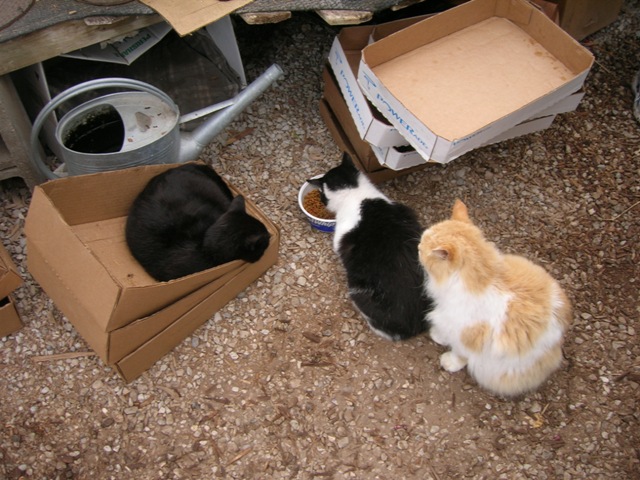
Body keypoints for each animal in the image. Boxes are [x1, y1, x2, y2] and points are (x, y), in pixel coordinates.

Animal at [418, 199, 572, 398]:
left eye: (422, 248)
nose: (417, 248)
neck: (483, 278)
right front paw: (438, 335)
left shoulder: (468, 337)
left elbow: (460, 353)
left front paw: (449, 361)